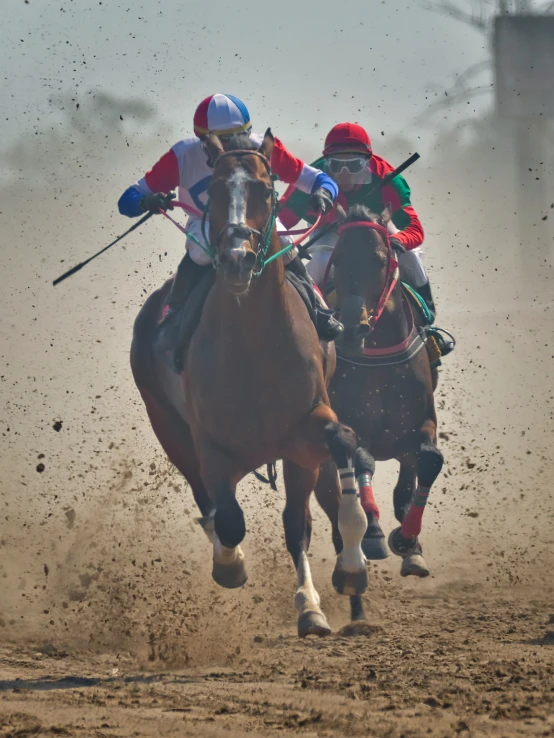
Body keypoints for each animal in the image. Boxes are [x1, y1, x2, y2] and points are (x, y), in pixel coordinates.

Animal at [130, 131, 370, 632]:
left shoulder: (304, 433)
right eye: (217, 191)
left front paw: (339, 581)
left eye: (263, 188)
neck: (254, 344)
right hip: (169, 429)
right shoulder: (212, 446)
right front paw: (231, 564)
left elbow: (333, 457)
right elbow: (228, 520)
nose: (237, 260)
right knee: (207, 505)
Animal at [312, 203, 442, 588]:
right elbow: (361, 460)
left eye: (380, 259)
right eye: (339, 258)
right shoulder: (348, 422)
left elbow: (429, 460)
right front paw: (373, 534)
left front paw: (408, 541)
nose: (353, 327)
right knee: (333, 496)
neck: (379, 352)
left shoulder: (421, 422)